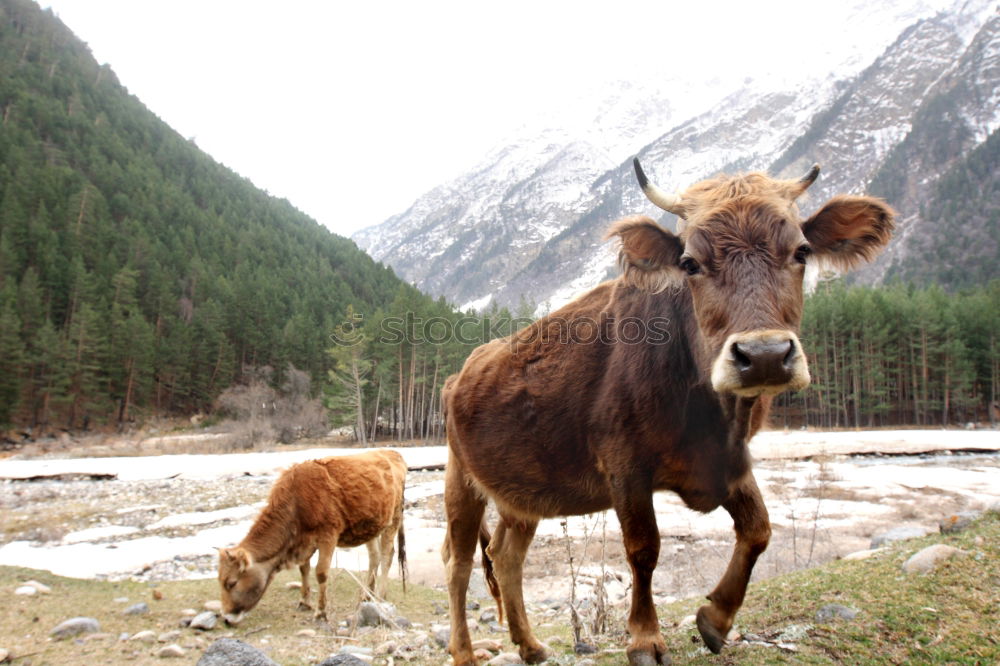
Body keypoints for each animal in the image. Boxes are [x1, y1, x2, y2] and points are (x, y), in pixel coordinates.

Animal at [219, 448, 406, 624]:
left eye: (231, 583)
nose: (226, 618)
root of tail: (392, 452)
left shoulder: (328, 535)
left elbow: (321, 572)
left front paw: (321, 612)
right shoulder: (305, 541)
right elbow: (304, 569)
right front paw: (304, 602)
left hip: (394, 517)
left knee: (386, 556)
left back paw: (380, 596)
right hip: (371, 525)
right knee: (374, 557)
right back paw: (366, 596)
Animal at [442, 158, 896, 660]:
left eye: (801, 251)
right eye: (690, 263)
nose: (764, 355)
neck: (712, 414)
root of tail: (462, 372)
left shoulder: (729, 463)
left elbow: (759, 530)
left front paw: (716, 618)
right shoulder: (625, 469)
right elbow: (644, 550)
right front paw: (645, 638)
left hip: (522, 495)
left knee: (506, 556)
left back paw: (531, 645)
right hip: (461, 482)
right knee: (460, 566)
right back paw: (464, 652)